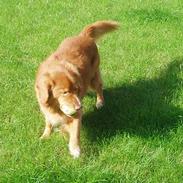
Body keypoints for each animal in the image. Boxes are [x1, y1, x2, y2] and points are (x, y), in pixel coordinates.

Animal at [34, 19, 118, 157]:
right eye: (65, 92)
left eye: (76, 90)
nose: (80, 106)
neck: (55, 106)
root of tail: (83, 36)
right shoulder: (45, 107)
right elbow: (48, 121)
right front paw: (45, 136)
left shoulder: (76, 114)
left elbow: (75, 133)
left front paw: (75, 149)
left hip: (93, 77)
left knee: (99, 87)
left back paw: (100, 102)